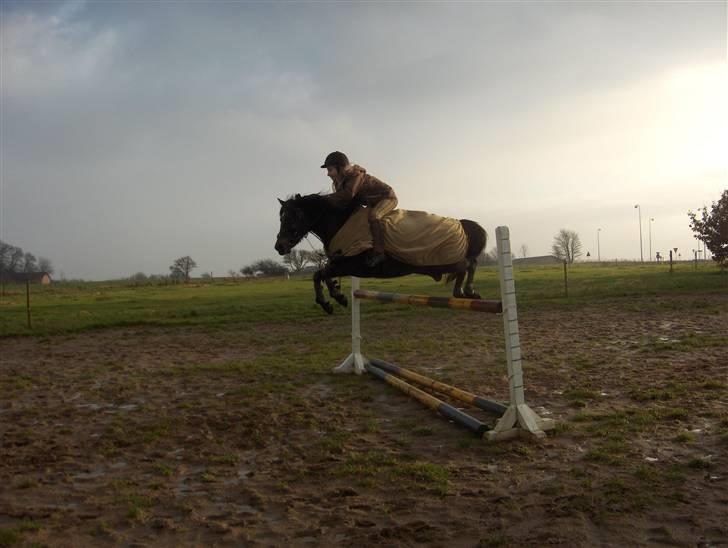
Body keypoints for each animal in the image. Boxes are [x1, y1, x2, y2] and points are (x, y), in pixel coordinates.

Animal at [276, 192, 486, 312]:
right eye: (281, 217)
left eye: (293, 216)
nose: (279, 246)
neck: (341, 223)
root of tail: (462, 224)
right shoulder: (340, 263)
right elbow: (322, 275)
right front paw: (337, 297)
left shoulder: (352, 264)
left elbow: (321, 274)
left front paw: (330, 301)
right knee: (466, 267)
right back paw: (462, 292)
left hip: (444, 260)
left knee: (469, 264)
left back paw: (468, 291)